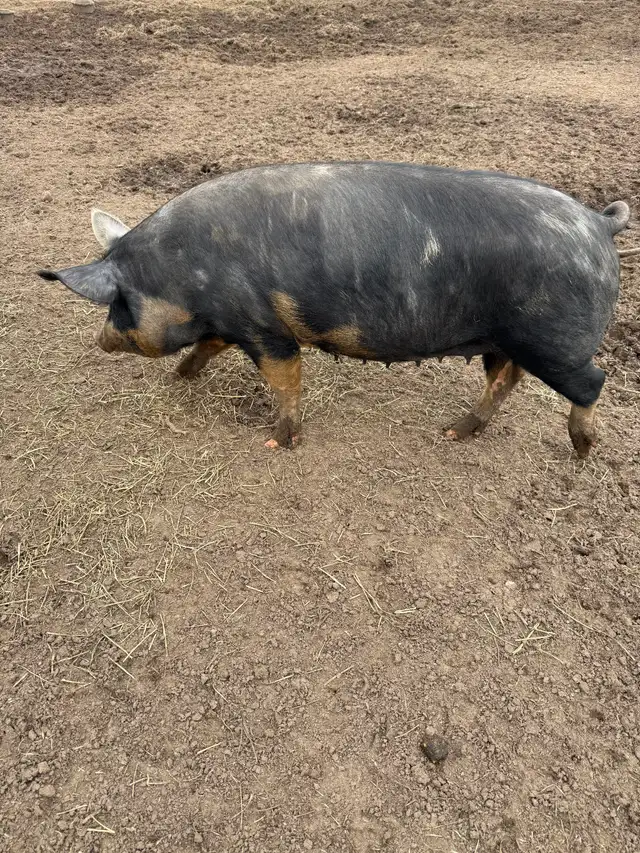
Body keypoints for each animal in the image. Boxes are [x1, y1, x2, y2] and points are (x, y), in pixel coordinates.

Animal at [38, 161, 632, 457]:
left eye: (118, 303)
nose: (100, 340)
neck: (184, 274)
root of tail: (598, 223)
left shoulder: (265, 327)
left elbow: (285, 379)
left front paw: (276, 442)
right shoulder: (230, 323)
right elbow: (208, 347)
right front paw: (179, 379)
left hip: (554, 342)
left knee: (591, 383)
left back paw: (582, 451)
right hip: (502, 339)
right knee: (504, 380)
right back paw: (453, 433)